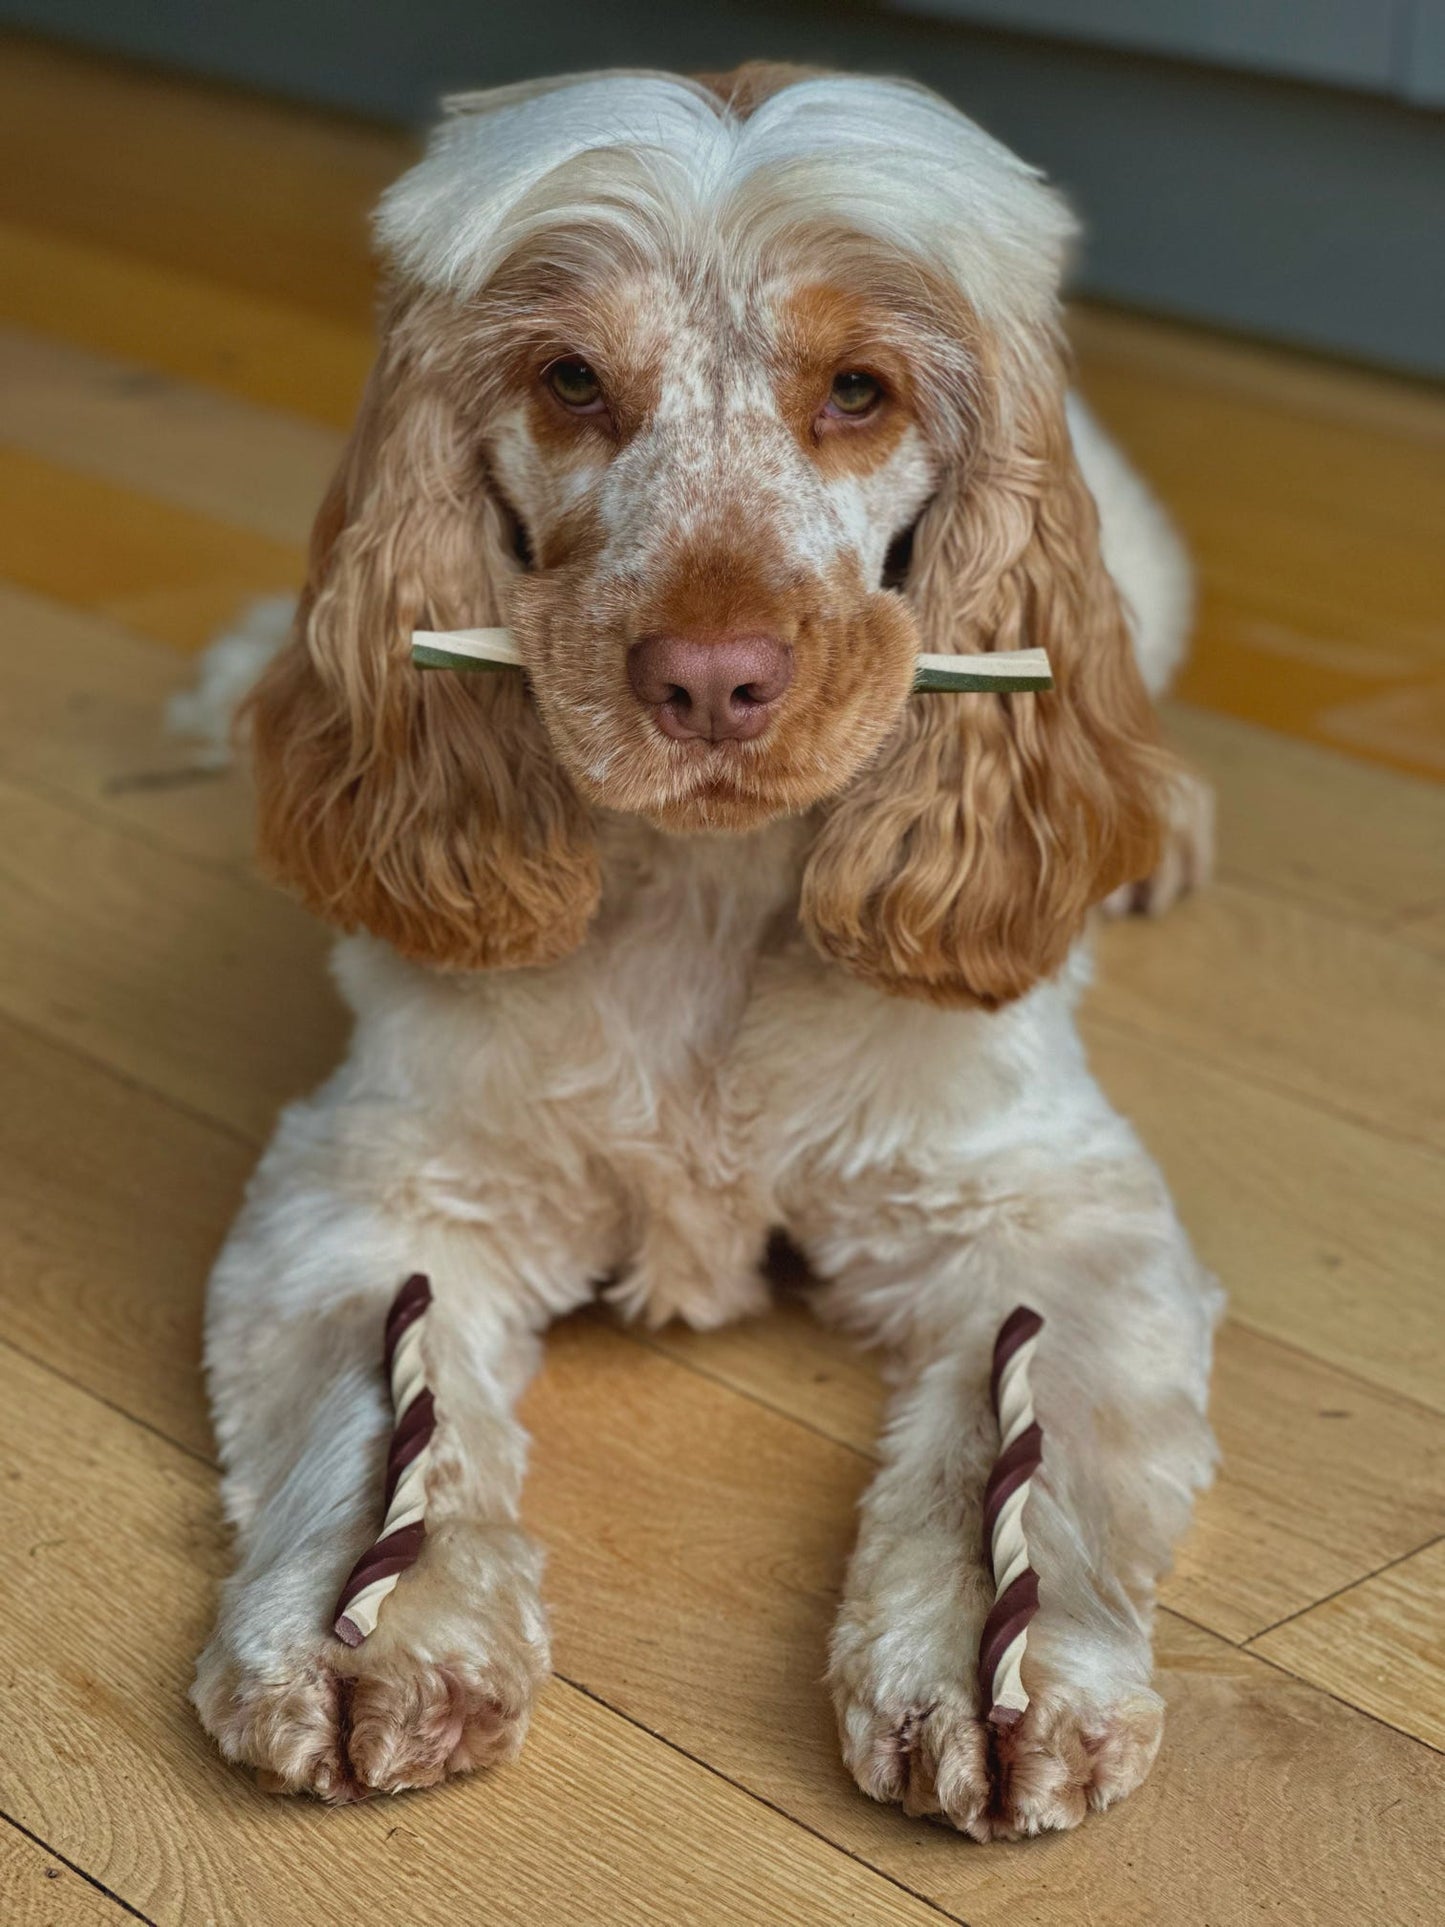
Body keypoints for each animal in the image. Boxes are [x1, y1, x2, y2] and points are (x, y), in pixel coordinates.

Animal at [189, 64, 1225, 1834]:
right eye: (571, 379)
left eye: (860, 390)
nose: (711, 679)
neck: (707, 887)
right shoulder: (387, 1184)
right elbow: (379, 1416)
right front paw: (363, 1633)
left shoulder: (1042, 1204)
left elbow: (1028, 1437)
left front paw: (991, 1669)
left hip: (1143, 570)